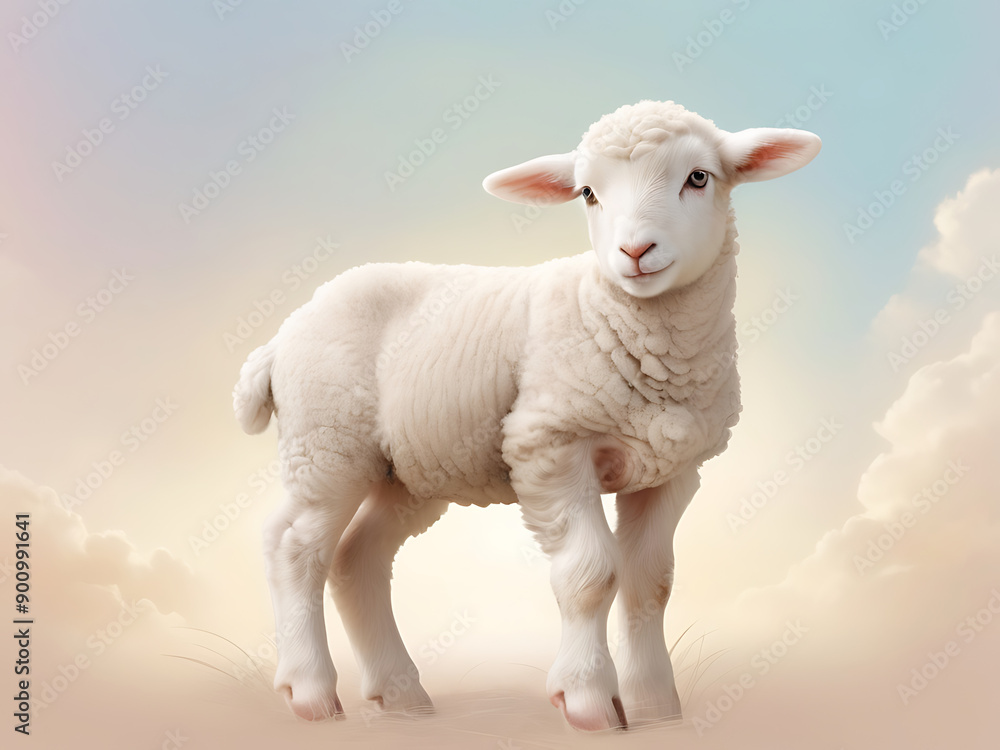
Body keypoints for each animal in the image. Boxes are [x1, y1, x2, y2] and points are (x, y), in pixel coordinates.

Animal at [233, 99, 821, 731]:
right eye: (587, 192)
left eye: (699, 177)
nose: (635, 253)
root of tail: (284, 334)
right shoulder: (549, 444)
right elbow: (592, 574)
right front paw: (588, 701)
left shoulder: (673, 469)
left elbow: (650, 584)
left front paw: (657, 707)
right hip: (327, 441)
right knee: (294, 547)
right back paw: (311, 692)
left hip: (407, 471)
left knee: (356, 559)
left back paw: (403, 697)